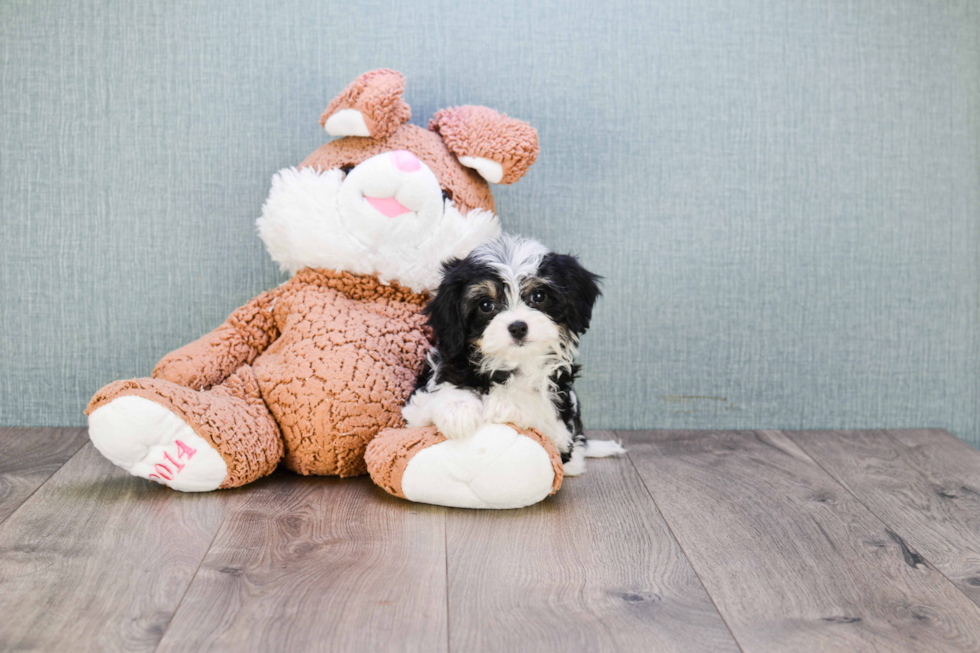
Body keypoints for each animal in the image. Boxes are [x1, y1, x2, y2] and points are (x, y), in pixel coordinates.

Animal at [402, 234, 624, 474]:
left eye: (538, 296)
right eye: (486, 305)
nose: (518, 327)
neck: (512, 363)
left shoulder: (559, 423)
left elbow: (536, 404)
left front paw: (501, 404)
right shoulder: (416, 409)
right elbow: (438, 394)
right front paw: (458, 411)